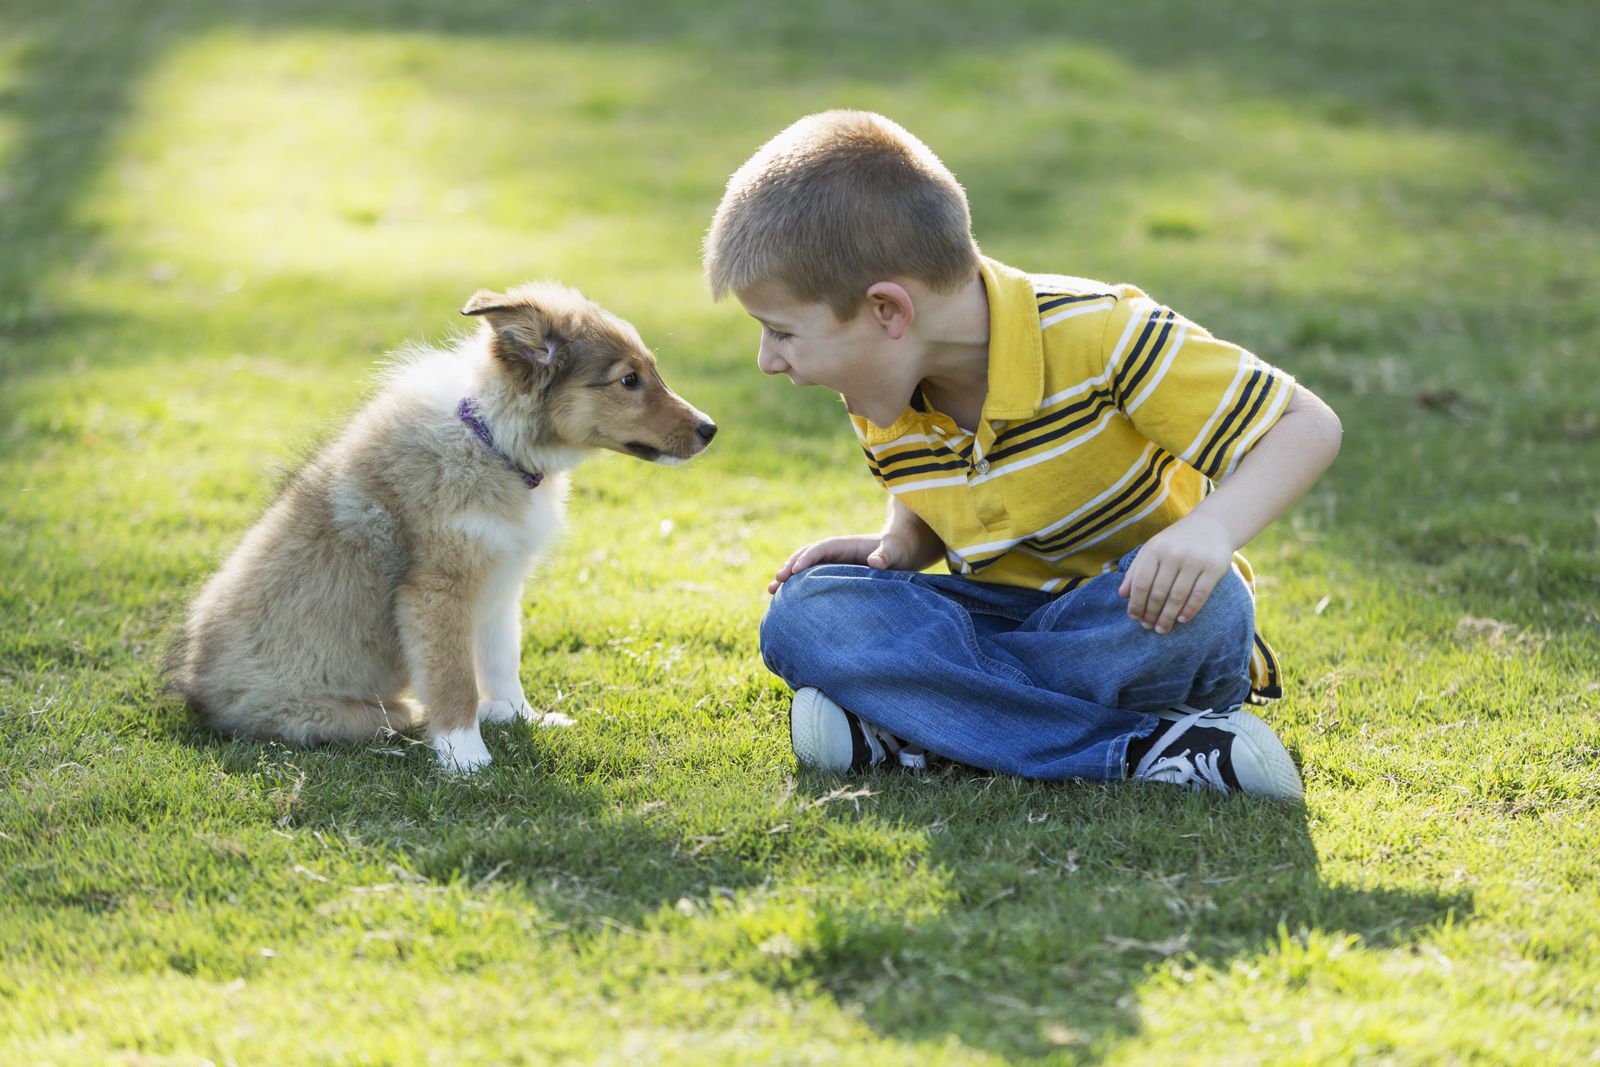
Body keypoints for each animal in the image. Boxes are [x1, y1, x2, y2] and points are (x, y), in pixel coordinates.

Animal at [168, 279, 713, 771]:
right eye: (628, 380)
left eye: (651, 371)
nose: (711, 429)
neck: (493, 441)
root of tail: (196, 695)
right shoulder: (436, 590)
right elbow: (455, 678)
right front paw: (466, 757)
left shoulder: (501, 582)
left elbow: (502, 658)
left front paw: (521, 716)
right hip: (346, 712)